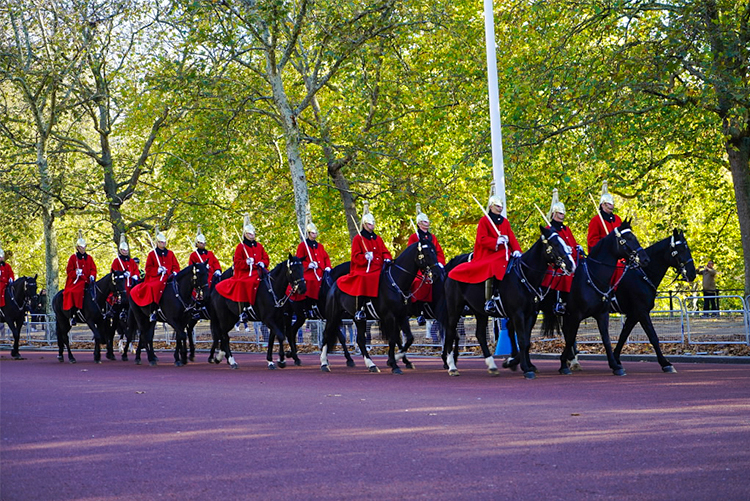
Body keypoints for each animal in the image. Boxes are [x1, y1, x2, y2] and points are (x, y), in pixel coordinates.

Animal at [318, 240, 438, 374]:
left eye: (435, 252)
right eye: (426, 254)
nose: (436, 274)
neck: (396, 283)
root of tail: (333, 284)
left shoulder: (402, 316)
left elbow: (408, 338)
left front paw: (397, 359)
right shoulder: (389, 317)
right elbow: (393, 339)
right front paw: (394, 364)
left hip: (358, 319)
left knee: (360, 340)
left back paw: (371, 364)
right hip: (333, 316)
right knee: (326, 335)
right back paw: (324, 363)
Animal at [446, 225, 576, 376]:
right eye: (555, 244)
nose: (571, 265)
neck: (525, 275)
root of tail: (452, 268)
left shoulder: (531, 314)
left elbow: (526, 341)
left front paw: (520, 364)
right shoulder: (517, 314)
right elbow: (522, 340)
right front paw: (524, 368)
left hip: (479, 311)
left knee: (480, 335)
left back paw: (491, 365)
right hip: (454, 309)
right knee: (450, 332)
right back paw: (452, 366)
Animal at [540, 219, 652, 376]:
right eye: (626, 239)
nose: (645, 259)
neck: (593, 277)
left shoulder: (602, 314)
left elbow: (606, 339)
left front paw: (615, 365)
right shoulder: (575, 315)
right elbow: (570, 338)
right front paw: (563, 363)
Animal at [612, 230, 704, 372]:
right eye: (681, 249)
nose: (692, 274)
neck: (642, 274)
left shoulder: (634, 314)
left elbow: (623, 335)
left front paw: (615, 359)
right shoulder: (641, 312)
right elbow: (653, 337)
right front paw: (665, 363)